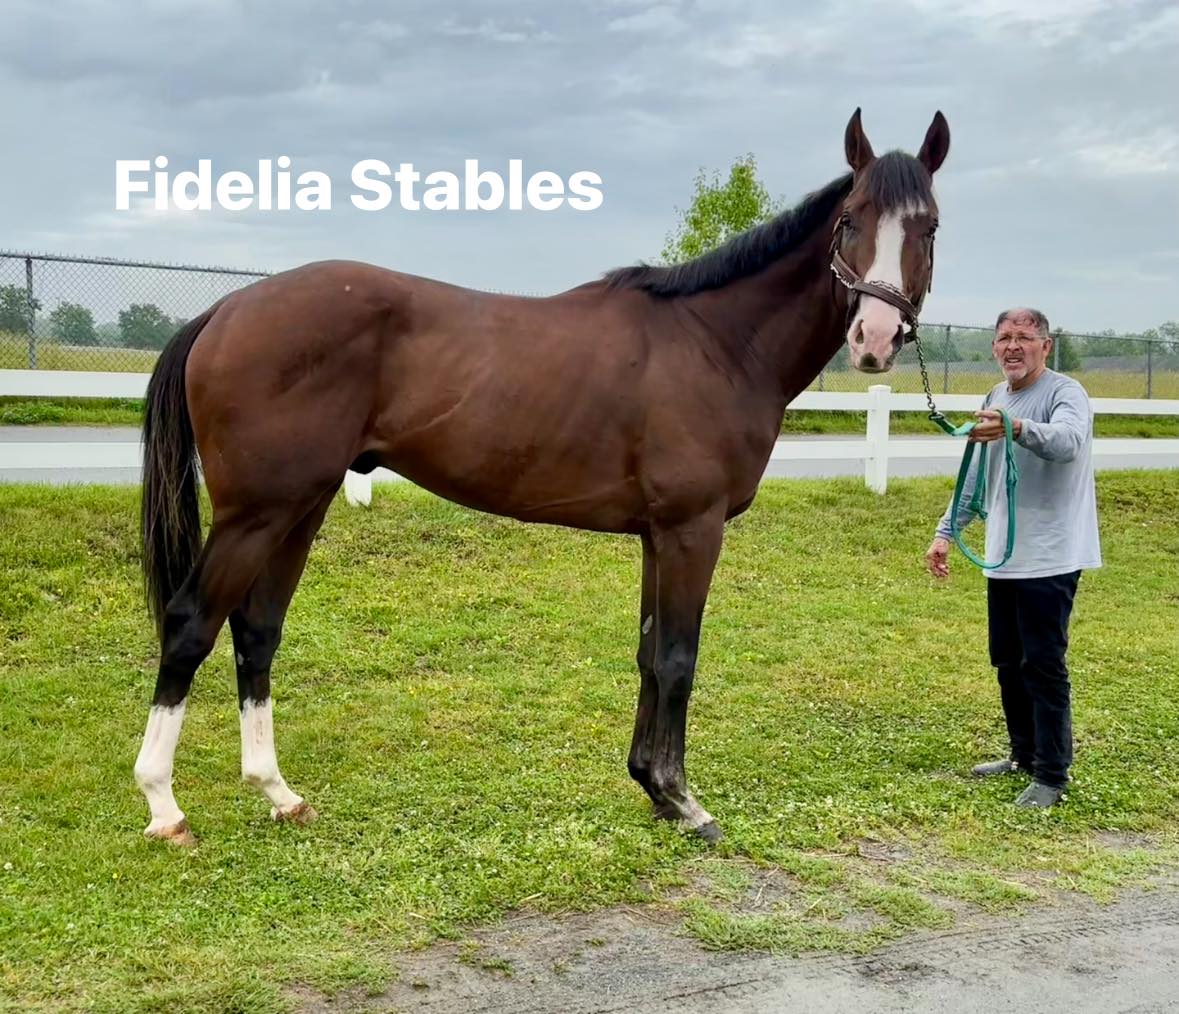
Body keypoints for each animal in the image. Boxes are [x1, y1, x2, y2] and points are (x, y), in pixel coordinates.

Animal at [134, 108, 950, 847]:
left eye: (929, 227)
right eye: (851, 219)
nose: (875, 339)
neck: (715, 342)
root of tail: (227, 308)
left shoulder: (656, 535)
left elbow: (648, 653)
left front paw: (651, 787)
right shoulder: (692, 529)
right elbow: (679, 658)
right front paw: (685, 802)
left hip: (300, 505)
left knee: (257, 630)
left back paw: (278, 792)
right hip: (256, 512)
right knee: (190, 624)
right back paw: (165, 807)